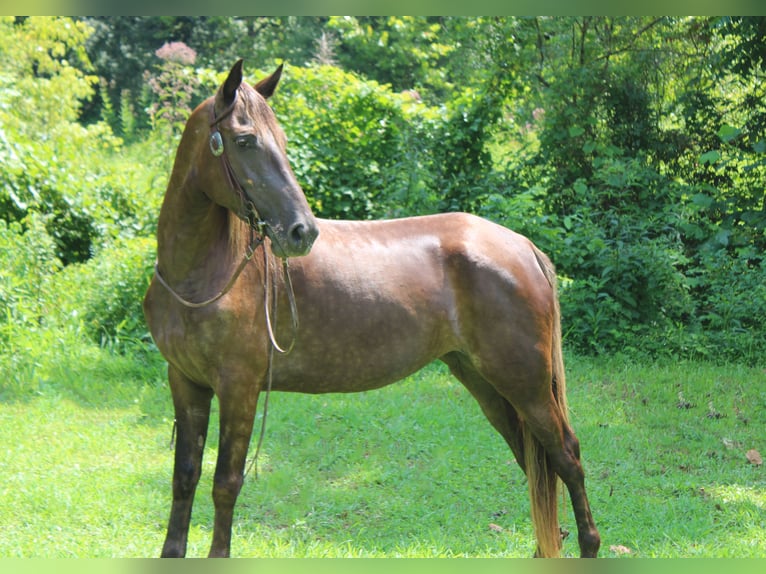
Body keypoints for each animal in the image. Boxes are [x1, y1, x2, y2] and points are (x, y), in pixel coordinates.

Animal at [142, 60, 600, 560]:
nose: (302, 232)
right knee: (536, 462)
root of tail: (522, 246)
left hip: (526, 384)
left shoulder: (238, 388)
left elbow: (225, 483)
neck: (202, 274)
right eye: (245, 141)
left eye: (281, 141)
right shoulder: (186, 383)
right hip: (487, 383)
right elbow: (184, 477)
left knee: (566, 456)